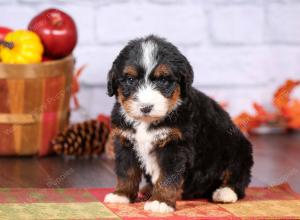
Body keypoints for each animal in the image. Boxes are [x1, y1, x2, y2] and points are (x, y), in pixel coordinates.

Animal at [103, 35, 253, 212]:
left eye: (163, 80)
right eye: (130, 79)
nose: (146, 107)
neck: (147, 122)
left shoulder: (175, 145)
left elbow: (167, 176)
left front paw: (160, 201)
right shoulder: (125, 141)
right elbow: (126, 171)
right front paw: (122, 194)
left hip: (237, 147)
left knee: (237, 175)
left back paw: (225, 192)